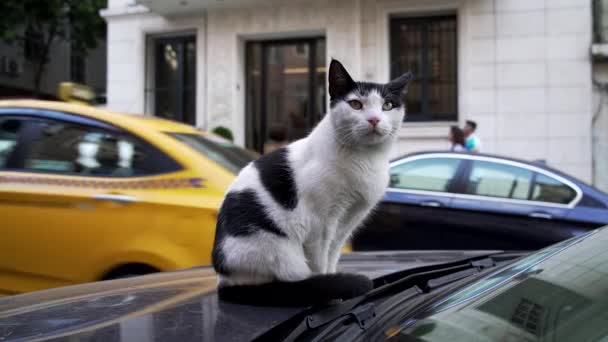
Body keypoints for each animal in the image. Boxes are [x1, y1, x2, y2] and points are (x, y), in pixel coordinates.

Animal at [210, 59, 414, 308]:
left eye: (387, 105)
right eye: (356, 104)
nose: (374, 119)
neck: (366, 160)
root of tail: (224, 280)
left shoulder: (347, 221)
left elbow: (332, 256)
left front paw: (333, 280)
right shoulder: (320, 223)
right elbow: (319, 262)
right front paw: (331, 293)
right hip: (279, 250)